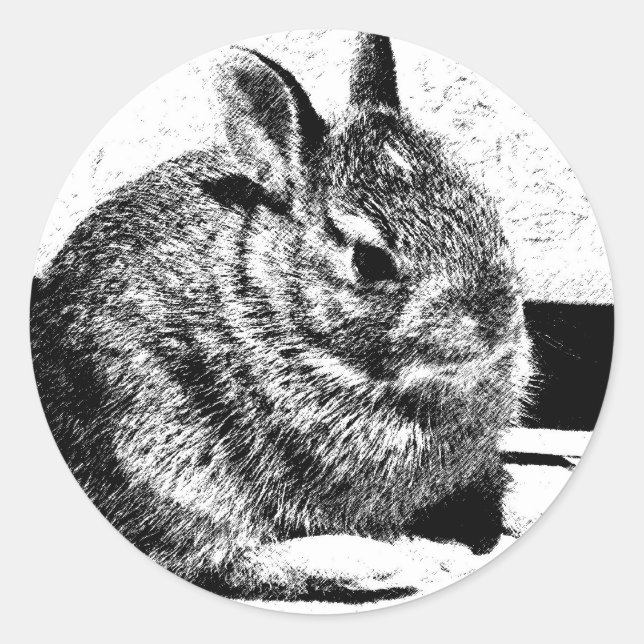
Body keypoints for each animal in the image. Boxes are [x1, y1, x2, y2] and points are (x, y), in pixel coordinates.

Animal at [30, 32, 532, 600]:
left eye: (487, 210)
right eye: (369, 261)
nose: (495, 325)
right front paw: (429, 553)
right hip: (170, 465)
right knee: (224, 562)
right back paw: (383, 565)